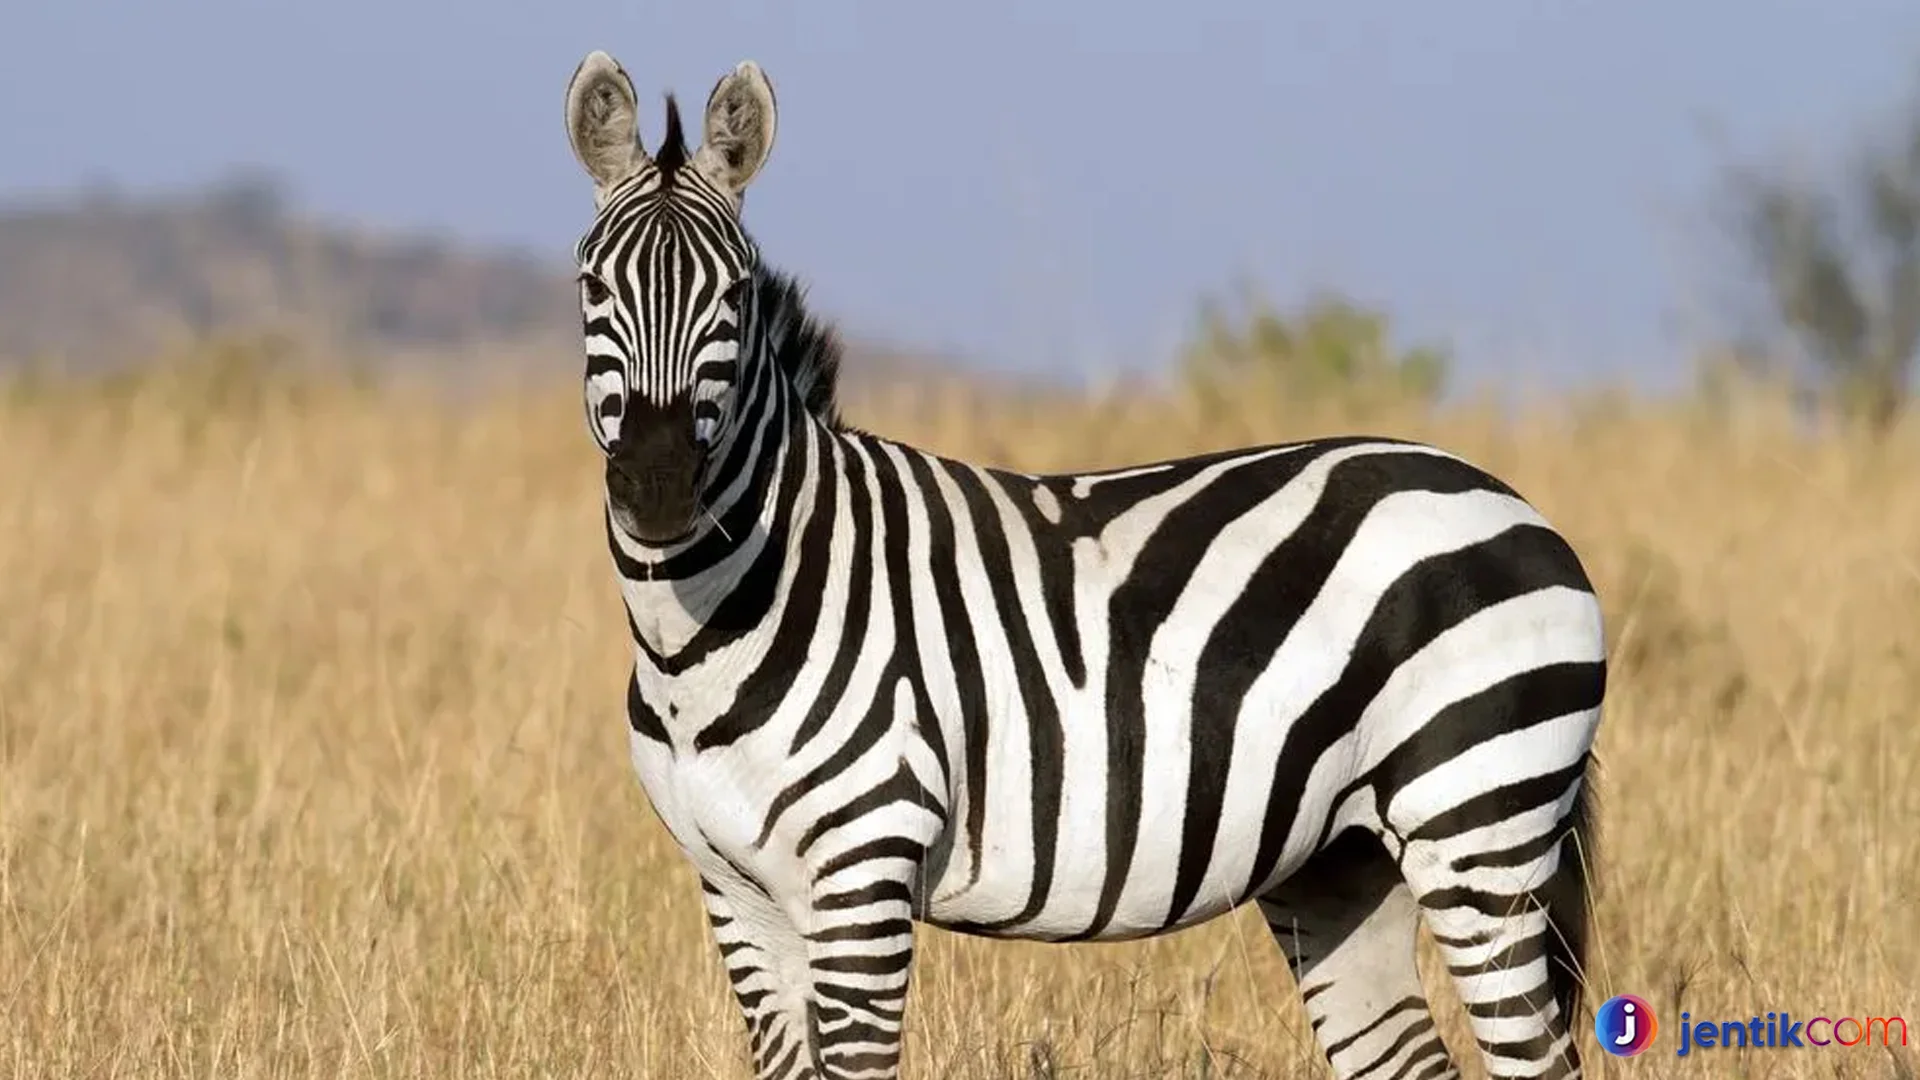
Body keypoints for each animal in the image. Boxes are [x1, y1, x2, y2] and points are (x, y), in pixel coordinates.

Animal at [563, 49, 1607, 1080]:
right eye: (592, 289)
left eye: (733, 296)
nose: (658, 487)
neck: (711, 636)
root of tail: (1509, 497)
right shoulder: (735, 892)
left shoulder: (864, 870)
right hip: (1343, 860)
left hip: (1479, 827)